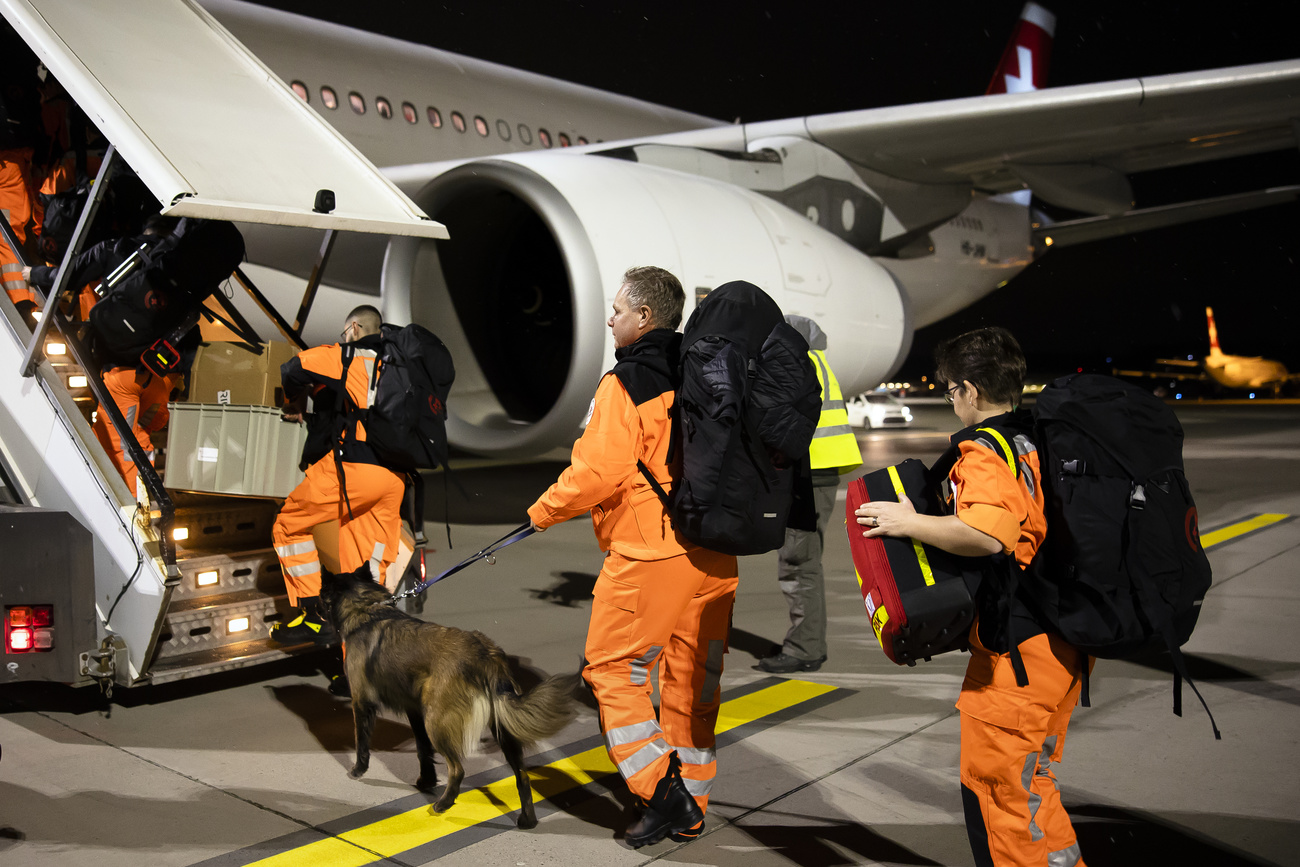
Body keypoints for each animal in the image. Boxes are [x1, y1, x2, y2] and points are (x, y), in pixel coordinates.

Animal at [318, 564, 574, 826]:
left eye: (320, 594)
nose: (314, 608)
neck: (365, 608)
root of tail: (484, 653)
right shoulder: (414, 710)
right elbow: (423, 749)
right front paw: (426, 780)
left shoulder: (361, 702)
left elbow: (361, 741)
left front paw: (358, 770)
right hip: (500, 728)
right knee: (522, 776)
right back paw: (527, 819)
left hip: (437, 723)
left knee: (458, 769)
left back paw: (444, 803)